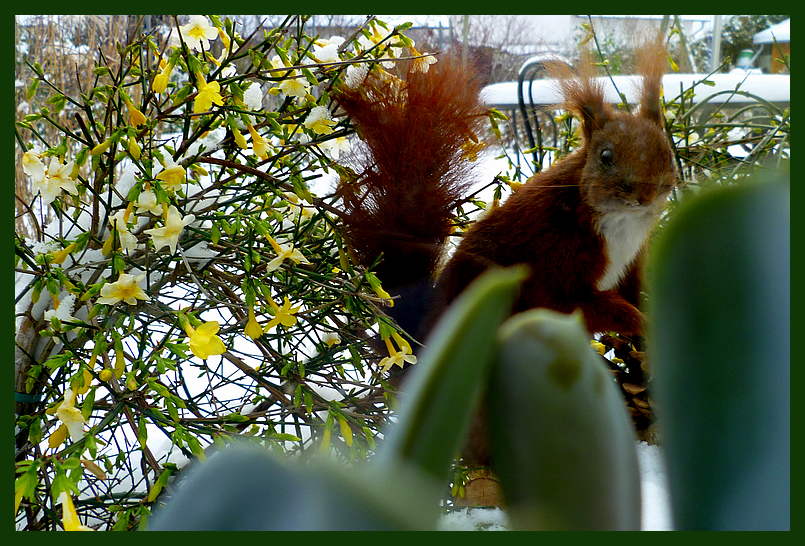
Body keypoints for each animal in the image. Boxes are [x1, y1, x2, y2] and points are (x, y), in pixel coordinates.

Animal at [336, 41, 676, 340]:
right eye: (605, 156)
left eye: (667, 151)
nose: (643, 195)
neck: (622, 220)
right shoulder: (558, 255)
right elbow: (577, 303)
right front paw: (641, 323)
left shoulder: (634, 259)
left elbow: (635, 289)